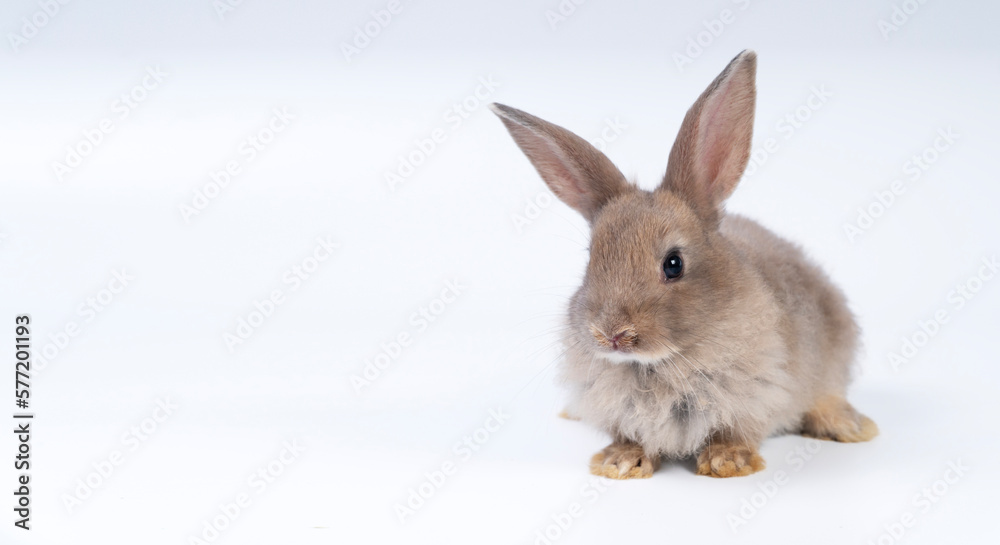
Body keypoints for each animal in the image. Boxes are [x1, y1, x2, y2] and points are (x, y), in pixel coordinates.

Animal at [489, 50, 877, 479]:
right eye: (592, 257)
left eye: (673, 264)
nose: (612, 335)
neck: (657, 362)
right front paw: (619, 463)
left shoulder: (758, 394)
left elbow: (734, 431)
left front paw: (728, 463)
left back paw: (849, 425)